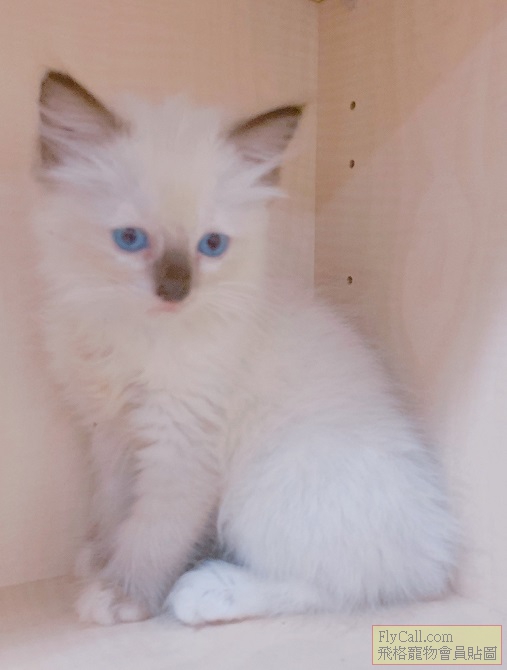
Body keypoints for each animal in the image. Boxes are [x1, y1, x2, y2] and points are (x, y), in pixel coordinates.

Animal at [33, 70, 458, 626]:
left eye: (212, 245)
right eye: (129, 239)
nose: (176, 291)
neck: (134, 335)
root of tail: (437, 549)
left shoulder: (181, 445)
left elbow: (152, 531)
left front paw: (120, 594)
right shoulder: (113, 436)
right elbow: (116, 510)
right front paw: (102, 558)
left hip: (265, 485)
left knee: (345, 586)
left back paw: (205, 593)